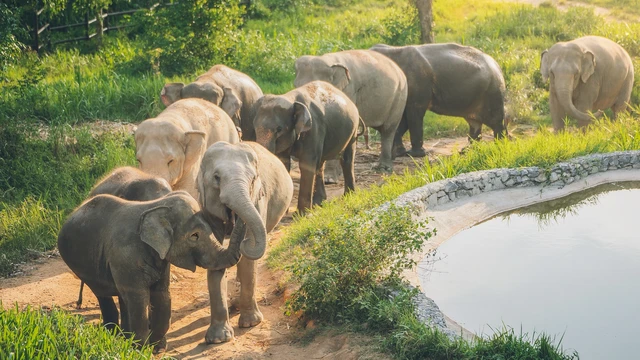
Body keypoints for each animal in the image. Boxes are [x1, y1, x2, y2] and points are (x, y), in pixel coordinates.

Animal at [58, 191, 250, 352]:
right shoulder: (125, 255)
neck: (156, 206)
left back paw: (122, 338)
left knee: (122, 296)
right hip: (82, 263)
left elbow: (162, 295)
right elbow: (140, 298)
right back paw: (114, 336)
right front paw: (139, 350)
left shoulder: (161, 258)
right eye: (194, 236)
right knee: (104, 294)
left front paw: (157, 348)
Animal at [198, 141, 296, 344]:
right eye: (216, 178)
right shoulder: (207, 207)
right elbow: (215, 254)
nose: (235, 218)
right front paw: (218, 339)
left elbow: (248, 261)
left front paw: (250, 324)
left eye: (253, 180)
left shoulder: (259, 200)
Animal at [252, 81, 360, 214]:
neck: (290, 98)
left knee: (346, 159)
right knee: (320, 164)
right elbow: (283, 162)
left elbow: (306, 164)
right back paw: (319, 203)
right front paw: (284, 211)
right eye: (255, 127)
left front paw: (302, 214)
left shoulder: (313, 129)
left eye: (279, 129)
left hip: (353, 131)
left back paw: (348, 196)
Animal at [370, 43, 510, 155]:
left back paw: (500, 145)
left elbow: (414, 114)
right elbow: (403, 119)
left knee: (496, 122)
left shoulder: (419, 85)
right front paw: (399, 153)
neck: (393, 50)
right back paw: (467, 150)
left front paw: (415, 154)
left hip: (492, 94)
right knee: (475, 122)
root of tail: (497, 65)